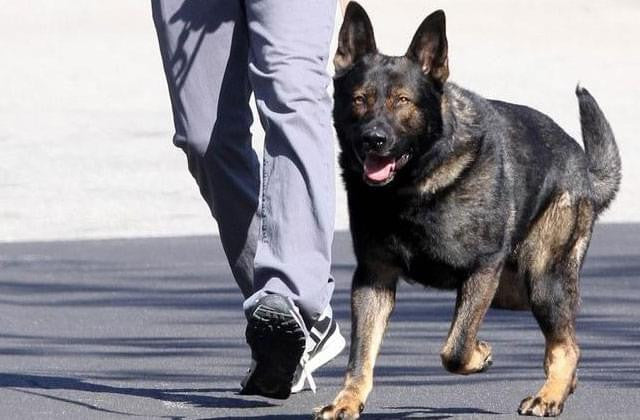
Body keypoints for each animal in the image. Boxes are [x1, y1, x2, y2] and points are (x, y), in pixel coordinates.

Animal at [318, 3, 624, 420]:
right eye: (360, 99)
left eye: (403, 101)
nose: (374, 139)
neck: (413, 186)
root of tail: (584, 167)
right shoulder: (373, 279)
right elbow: (360, 355)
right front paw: (348, 399)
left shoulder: (482, 269)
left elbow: (456, 347)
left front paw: (479, 355)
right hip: (517, 289)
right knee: (564, 339)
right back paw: (562, 385)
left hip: (543, 278)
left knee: (567, 344)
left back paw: (550, 394)